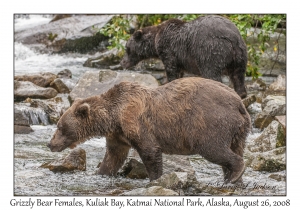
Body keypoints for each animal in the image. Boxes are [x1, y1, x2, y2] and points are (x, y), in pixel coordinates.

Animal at [47, 77, 251, 184]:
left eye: (60, 126)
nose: (50, 144)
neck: (114, 117)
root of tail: (239, 103)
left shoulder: (136, 122)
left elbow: (150, 151)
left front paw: (155, 179)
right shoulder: (118, 135)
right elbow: (113, 156)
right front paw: (100, 173)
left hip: (210, 123)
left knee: (214, 149)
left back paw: (235, 173)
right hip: (239, 131)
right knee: (235, 148)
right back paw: (233, 178)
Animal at [120, 14, 248, 98]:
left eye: (127, 48)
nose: (122, 62)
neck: (155, 41)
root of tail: (232, 37)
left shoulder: (169, 48)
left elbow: (171, 70)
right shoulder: (179, 58)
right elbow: (179, 73)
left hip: (211, 51)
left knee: (211, 73)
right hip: (240, 56)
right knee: (238, 77)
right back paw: (240, 94)